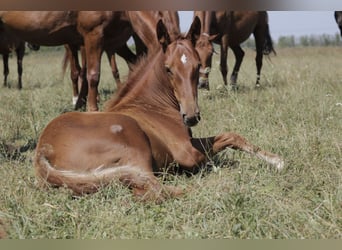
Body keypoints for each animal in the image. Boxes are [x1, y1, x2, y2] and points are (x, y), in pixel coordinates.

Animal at [34, 17, 284, 202]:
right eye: (168, 69)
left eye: (197, 66)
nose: (191, 117)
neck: (153, 105)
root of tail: (43, 151)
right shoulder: (187, 153)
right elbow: (219, 148)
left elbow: (232, 136)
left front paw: (276, 160)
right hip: (136, 146)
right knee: (155, 189)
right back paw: (220, 189)